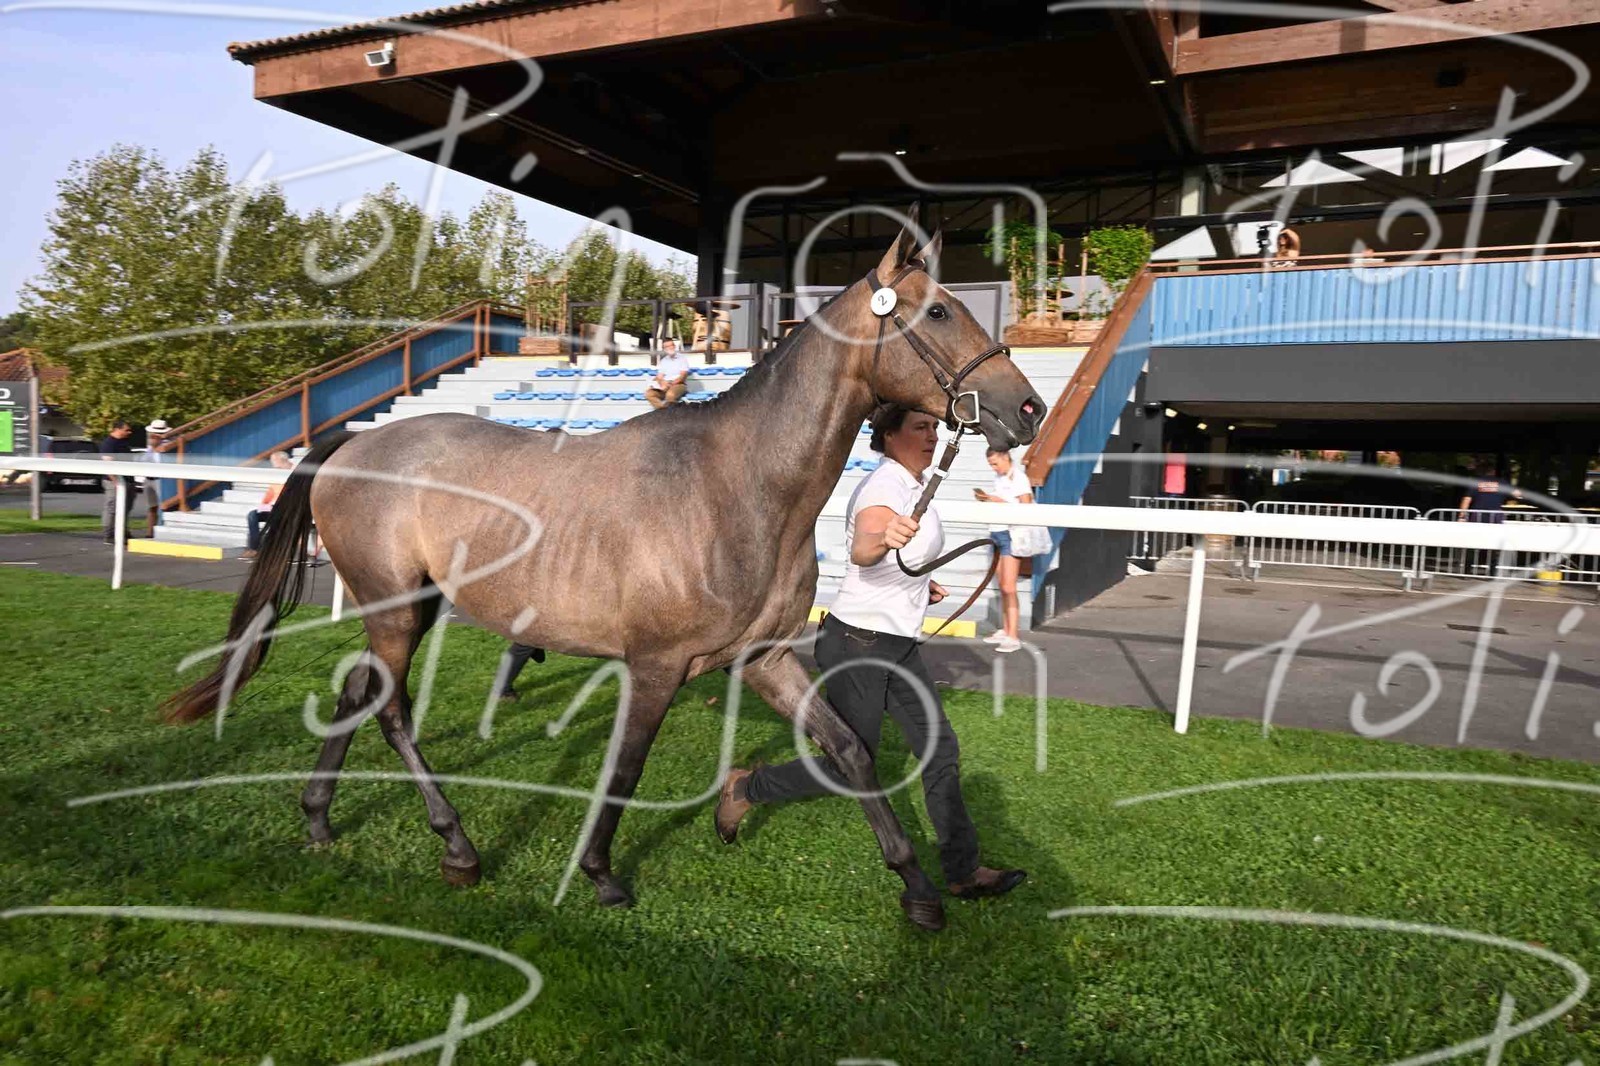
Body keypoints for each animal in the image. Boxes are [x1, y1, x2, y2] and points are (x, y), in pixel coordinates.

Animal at [163, 211, 1046, 931]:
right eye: (940, 310)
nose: (1028, 408)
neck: (735, 485)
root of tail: (353, 442)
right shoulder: (655, 665)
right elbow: (626, 766)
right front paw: (600, 875)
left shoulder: (762, 658)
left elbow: (852, 753)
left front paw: (919, 890)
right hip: (394, 608)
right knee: (391, 712)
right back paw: (457, 848)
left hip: (412, 604)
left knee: (358, 694)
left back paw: (318, 819)